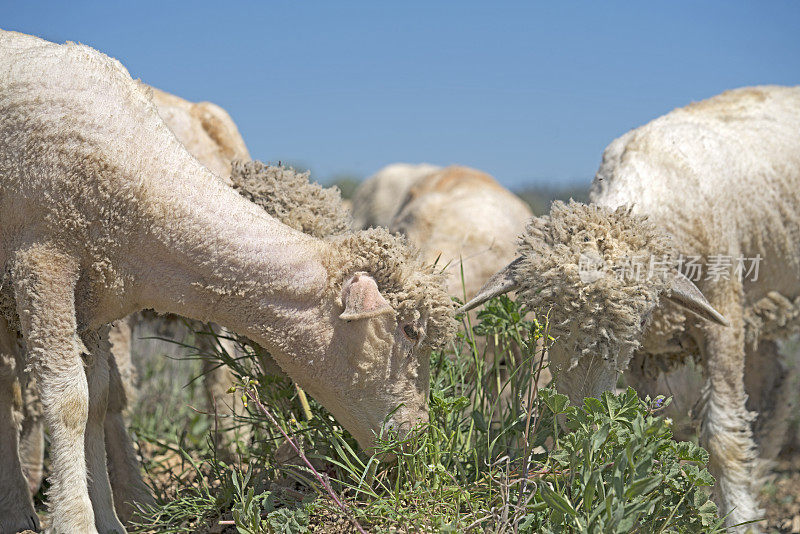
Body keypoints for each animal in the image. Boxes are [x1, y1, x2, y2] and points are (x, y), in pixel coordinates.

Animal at [0, 30, 456, 534]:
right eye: (410, 333)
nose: (417, 441)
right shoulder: (42, 264)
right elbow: (69, 403)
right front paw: (76, 520)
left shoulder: (97, 298)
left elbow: (98, 401)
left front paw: (109, 518)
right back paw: (18, 509)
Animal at [460, 85, 800, 532]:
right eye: (549, 322)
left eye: (635, 322)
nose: (580, 419)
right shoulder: (643, 361)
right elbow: (644, 424)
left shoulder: (723, 316)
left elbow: (722, 435)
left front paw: (737, 519)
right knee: (771, 385)